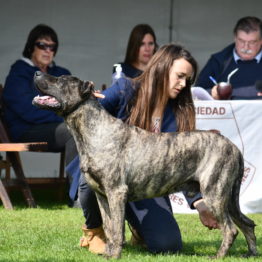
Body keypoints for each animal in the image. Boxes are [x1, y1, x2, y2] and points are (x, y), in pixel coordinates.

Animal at [32, 71, 256, 258]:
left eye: (61, 80)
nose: (36, 72)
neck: (92, 130)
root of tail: (234, 147)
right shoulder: (102, 195)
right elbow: (110, 228)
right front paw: (108, 253)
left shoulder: (116, 192)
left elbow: (117, 229)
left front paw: (115, 255)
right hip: (229, 198)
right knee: (248, 224)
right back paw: (251, 254)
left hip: (215, 193)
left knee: (231, 229)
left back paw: (218, 256)